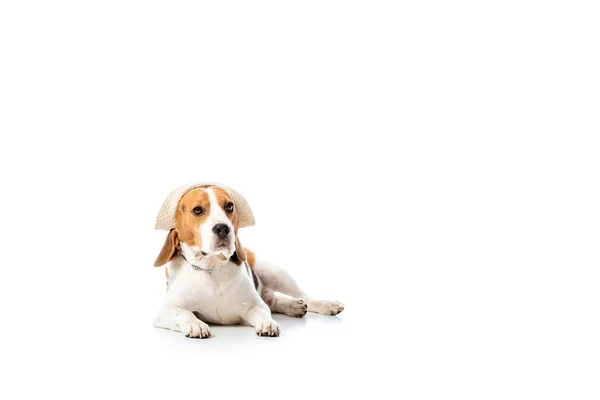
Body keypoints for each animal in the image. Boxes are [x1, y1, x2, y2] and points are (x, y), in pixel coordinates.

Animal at [152, 184, 344, 338]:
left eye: (229, 206)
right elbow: (184, 314)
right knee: (273, 301)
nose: (223, 228)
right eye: (197, 210)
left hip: (274, 272)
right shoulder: (164, 311)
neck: (211, 268)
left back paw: (325, 304)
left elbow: (263, 312)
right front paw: (195, 324)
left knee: (303, 296)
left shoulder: (254, 305)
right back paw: (292, 306)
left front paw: (268, 323)